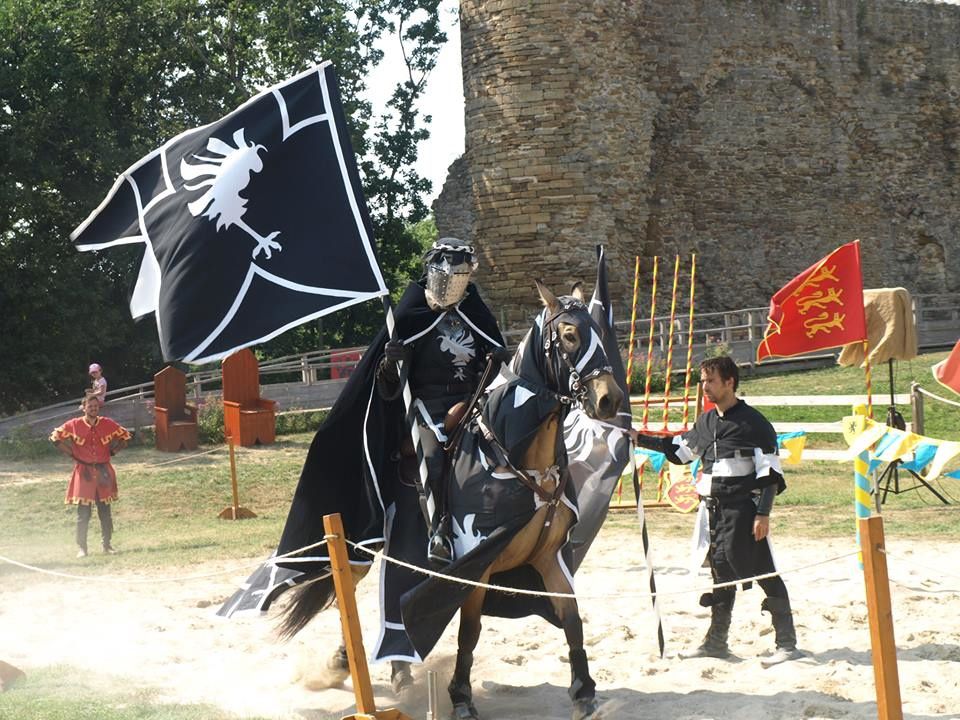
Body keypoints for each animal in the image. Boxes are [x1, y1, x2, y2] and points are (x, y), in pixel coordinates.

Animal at [278, 282, 628, 720]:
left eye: (598, 331)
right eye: (568, 335)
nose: (609, 400)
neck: (517, 452)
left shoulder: (549, 557)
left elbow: (572, 620)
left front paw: (584, 693)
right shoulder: (475, 562)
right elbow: (469, 631)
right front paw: (461, 698)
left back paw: (397, 670)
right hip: (361, 542)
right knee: (348, 589)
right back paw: (344, 662)